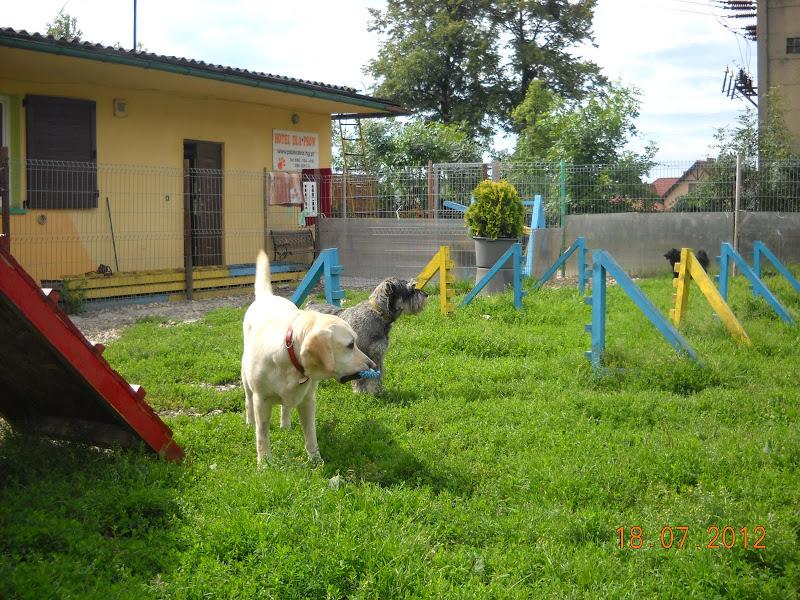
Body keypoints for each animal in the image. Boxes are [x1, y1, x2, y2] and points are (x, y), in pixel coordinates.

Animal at [241, 248, 376, 464]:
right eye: (350, 345)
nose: (372, 364)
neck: (289, 358)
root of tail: (268, 297)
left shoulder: (308, 401)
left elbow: (311, 435)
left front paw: (316, 460)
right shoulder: (261, 401)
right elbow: (262, 437)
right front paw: (264, 464)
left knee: (285, 408)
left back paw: (285, 426)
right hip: (246, 380)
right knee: (248, 401)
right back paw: (249, 423)